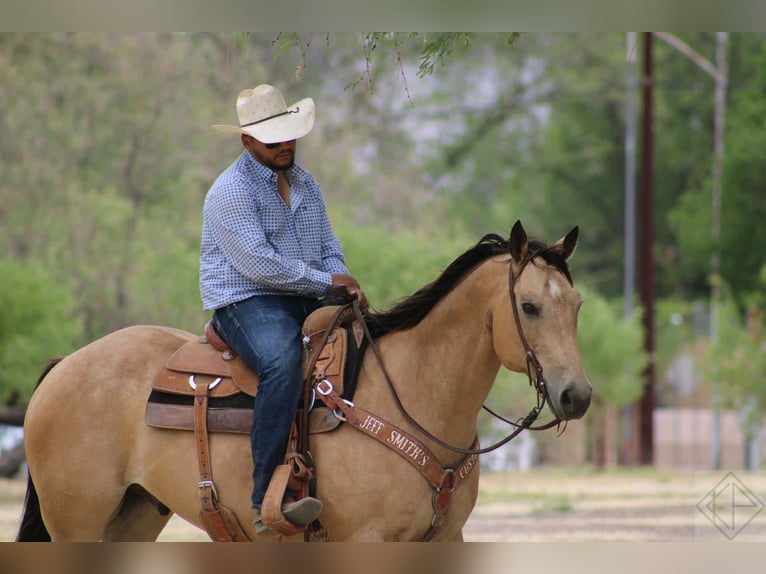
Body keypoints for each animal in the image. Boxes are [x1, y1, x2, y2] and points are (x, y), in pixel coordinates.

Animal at [17, 221, 591, 542]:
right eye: (529, 306)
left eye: (578, 304)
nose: (577, 395)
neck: (413, 398)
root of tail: (64, 366)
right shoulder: (367, 540)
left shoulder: (447, 539)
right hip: (76, 521)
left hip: (131, 518)